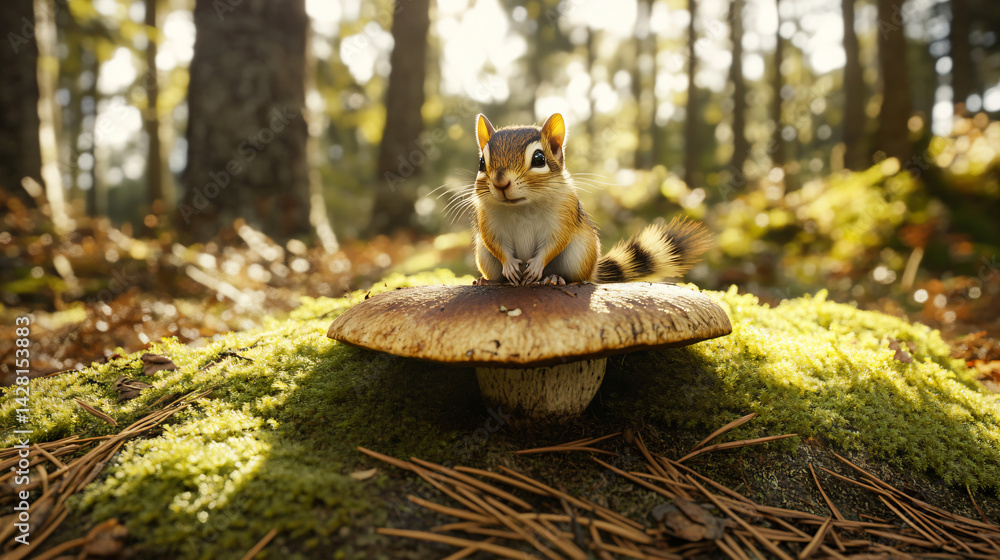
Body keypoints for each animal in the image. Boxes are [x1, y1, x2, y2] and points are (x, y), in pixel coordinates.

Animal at [471, 112, 712, 286]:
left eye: (539, 159)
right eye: (482, 163)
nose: (501, 183)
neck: (521, 206)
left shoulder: (564, 215)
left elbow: (555, 243)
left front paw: (538, 265)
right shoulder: (488, 221)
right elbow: (495, 244)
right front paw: (510, 265)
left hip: (579, 256)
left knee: (575, 278)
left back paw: (553, 278)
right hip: (483, 256)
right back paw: (486, 281)